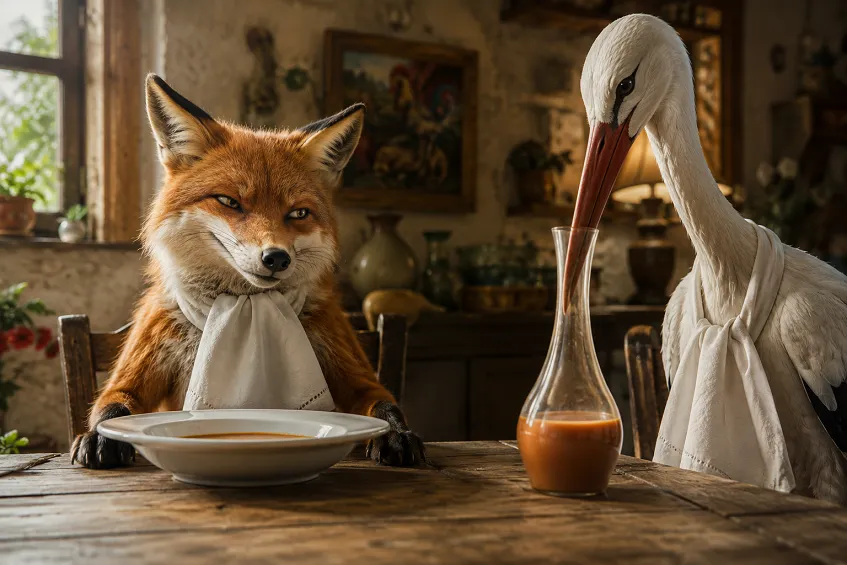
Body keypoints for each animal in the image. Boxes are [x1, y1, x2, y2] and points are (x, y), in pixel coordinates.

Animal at [71, 74, 425, 469]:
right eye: (229, 201)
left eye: (298, 213)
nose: (276, 258)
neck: (244, 303)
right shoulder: (131, 374)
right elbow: (110, 410)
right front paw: (99, 437)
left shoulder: (358, 374)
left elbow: (385, 407)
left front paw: (397, 435)